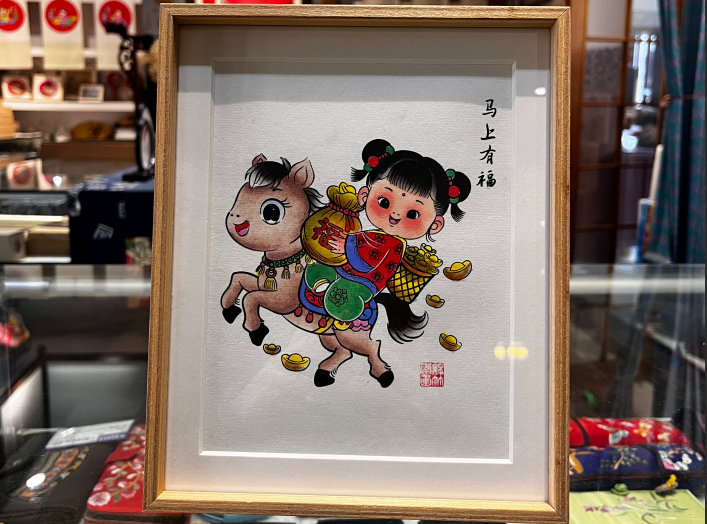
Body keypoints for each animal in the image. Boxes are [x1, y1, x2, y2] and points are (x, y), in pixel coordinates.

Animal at [220, 154, 428, 388]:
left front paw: (256, 331)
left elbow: (251, 298)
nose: (236, 222)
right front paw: (229, 309)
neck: (285, 264)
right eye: (241, 195)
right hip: (329, 335)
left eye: (272, 211)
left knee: (372, 346)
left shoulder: (283, 302)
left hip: (351, 334)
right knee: (344, 353)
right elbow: (239, 279)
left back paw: (384, 376)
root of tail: (373, 303)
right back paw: (323, 374)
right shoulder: (261, 284)